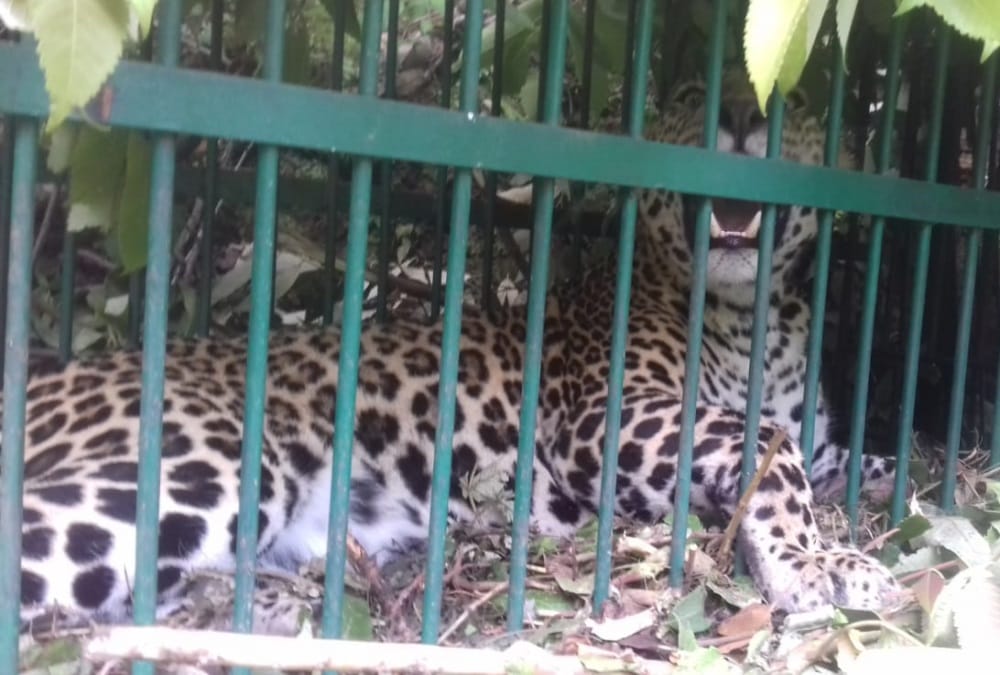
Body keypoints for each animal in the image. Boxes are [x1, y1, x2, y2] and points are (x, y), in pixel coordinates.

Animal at [9, 70, 906, 627]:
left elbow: (854, 459)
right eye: (694, 94)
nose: (746, 116)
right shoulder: (607, 416)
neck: (757, 316)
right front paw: (820, 562)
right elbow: (774, 451)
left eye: (798, 104)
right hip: (207, 458)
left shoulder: (821, 440)